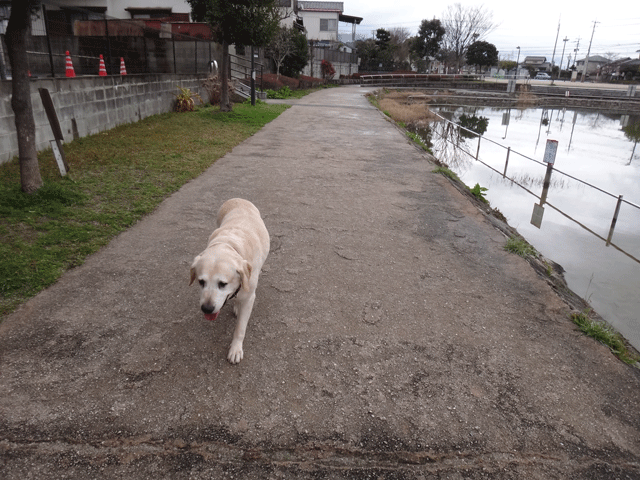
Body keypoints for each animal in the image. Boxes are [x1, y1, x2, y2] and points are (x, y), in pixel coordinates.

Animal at [190, 199, 270, 364]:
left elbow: (240, 328)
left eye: (222, 284)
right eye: (201, 282)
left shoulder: (249, 297)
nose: (207, 309)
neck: (229, 245)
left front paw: (235, 349)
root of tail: (238, 199)